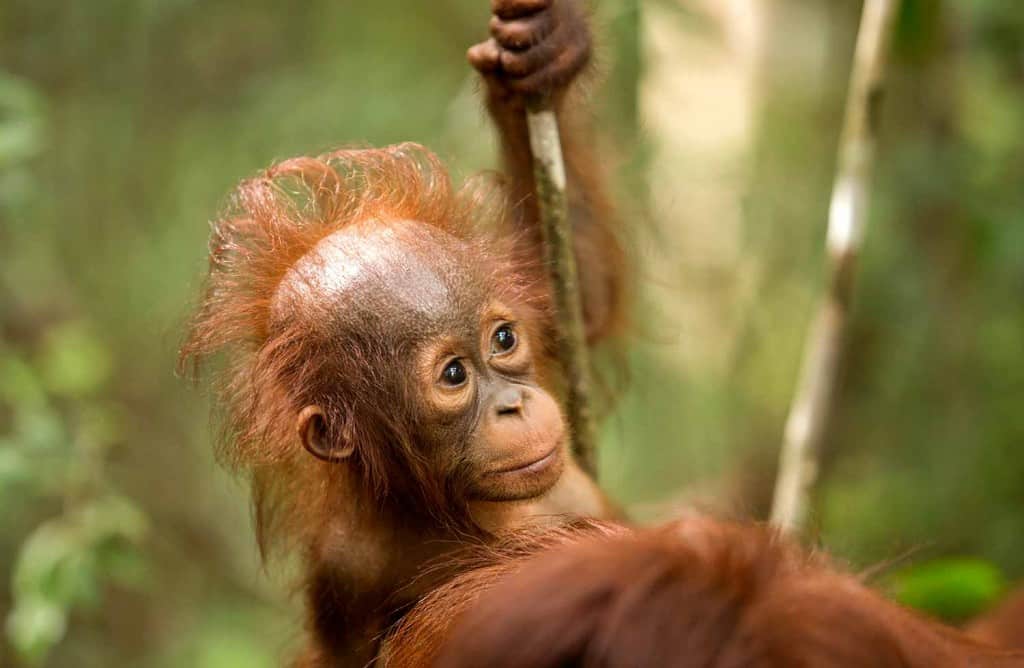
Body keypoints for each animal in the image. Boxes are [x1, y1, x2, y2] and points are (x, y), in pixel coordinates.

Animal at [180, 1, 625, 664]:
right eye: (453, 375)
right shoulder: (345, 569)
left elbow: (580, 295)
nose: (514, 404)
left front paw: (546, 48)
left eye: (503, 340)